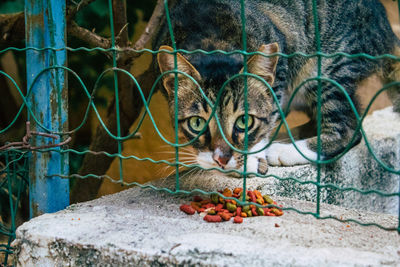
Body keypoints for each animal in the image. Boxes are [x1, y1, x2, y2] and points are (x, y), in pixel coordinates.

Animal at [152, 0, 400, 175]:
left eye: (244, 121)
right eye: (196, 123)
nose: (220, 158)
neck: (212, 39)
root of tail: (385, 28)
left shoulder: (280, 63)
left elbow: (269, 114)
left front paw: (250, 159)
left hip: (330, 64)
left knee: (348, 127)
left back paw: (285, 150)